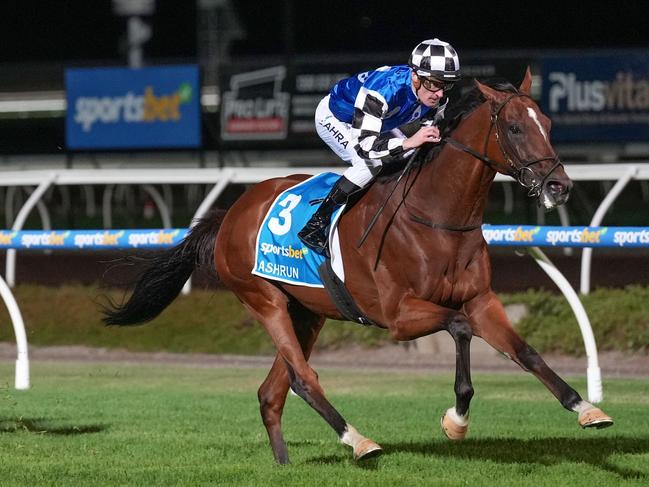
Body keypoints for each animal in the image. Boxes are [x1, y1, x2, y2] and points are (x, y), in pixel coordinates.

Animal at [102, 69, 612, 466]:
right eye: (515, 127)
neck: (436, 217)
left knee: (273, 391)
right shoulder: (399, 316)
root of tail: (230, 212)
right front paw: (456, 420)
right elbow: (460, 328)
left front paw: (586, 407)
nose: (560, 186)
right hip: (264, 300)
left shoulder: (481, 299)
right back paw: (359, 441)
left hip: (307, 312)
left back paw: (285, 463)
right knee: (303, 380)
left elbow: (524, 351)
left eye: (547, 122)